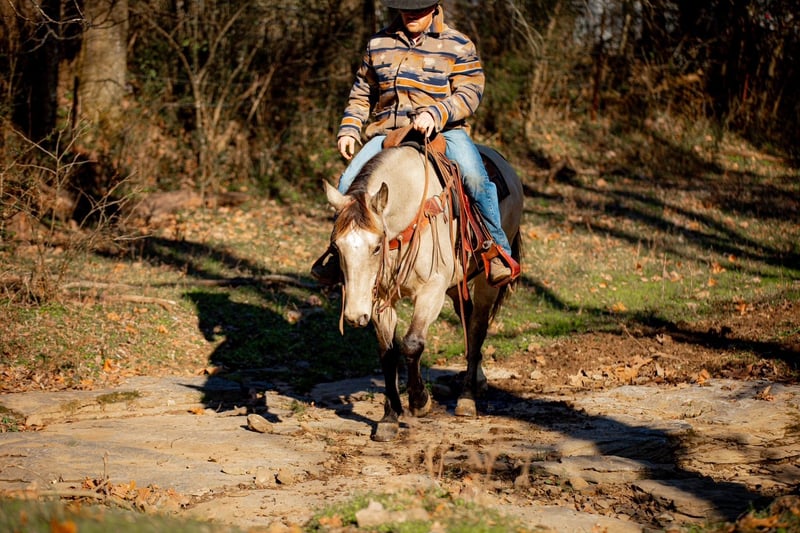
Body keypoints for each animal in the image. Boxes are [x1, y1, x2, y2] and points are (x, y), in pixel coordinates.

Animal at [324, 142, 523, 441]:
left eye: (376, 247)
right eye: (336, 247)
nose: (354, 316)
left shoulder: (432, 291)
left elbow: (411, 344)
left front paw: (419, 401)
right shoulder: (381, 298)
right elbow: (388, 352)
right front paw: (389, 417)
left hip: (485, 281)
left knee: (477, 327)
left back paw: (467, 398)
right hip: (456, 286)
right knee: (467, 320)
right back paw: (478, 379)